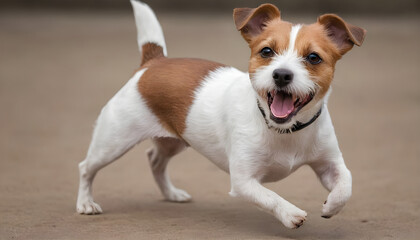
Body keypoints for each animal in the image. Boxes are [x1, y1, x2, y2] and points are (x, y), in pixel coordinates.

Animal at [77, 0, 366, 229]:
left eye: (314, 58)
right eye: (267, 51)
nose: (282, 74)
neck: (283, 128)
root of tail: (154, 62)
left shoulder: (330, 164)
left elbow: (347, 184)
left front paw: (331, 205)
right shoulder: (243, 181)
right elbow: (270, 197)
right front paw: (290, 213)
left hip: (175, 140)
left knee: (155, 160)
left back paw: (171, 193)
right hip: (113, 142)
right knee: (86, 168)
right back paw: (86, 204)